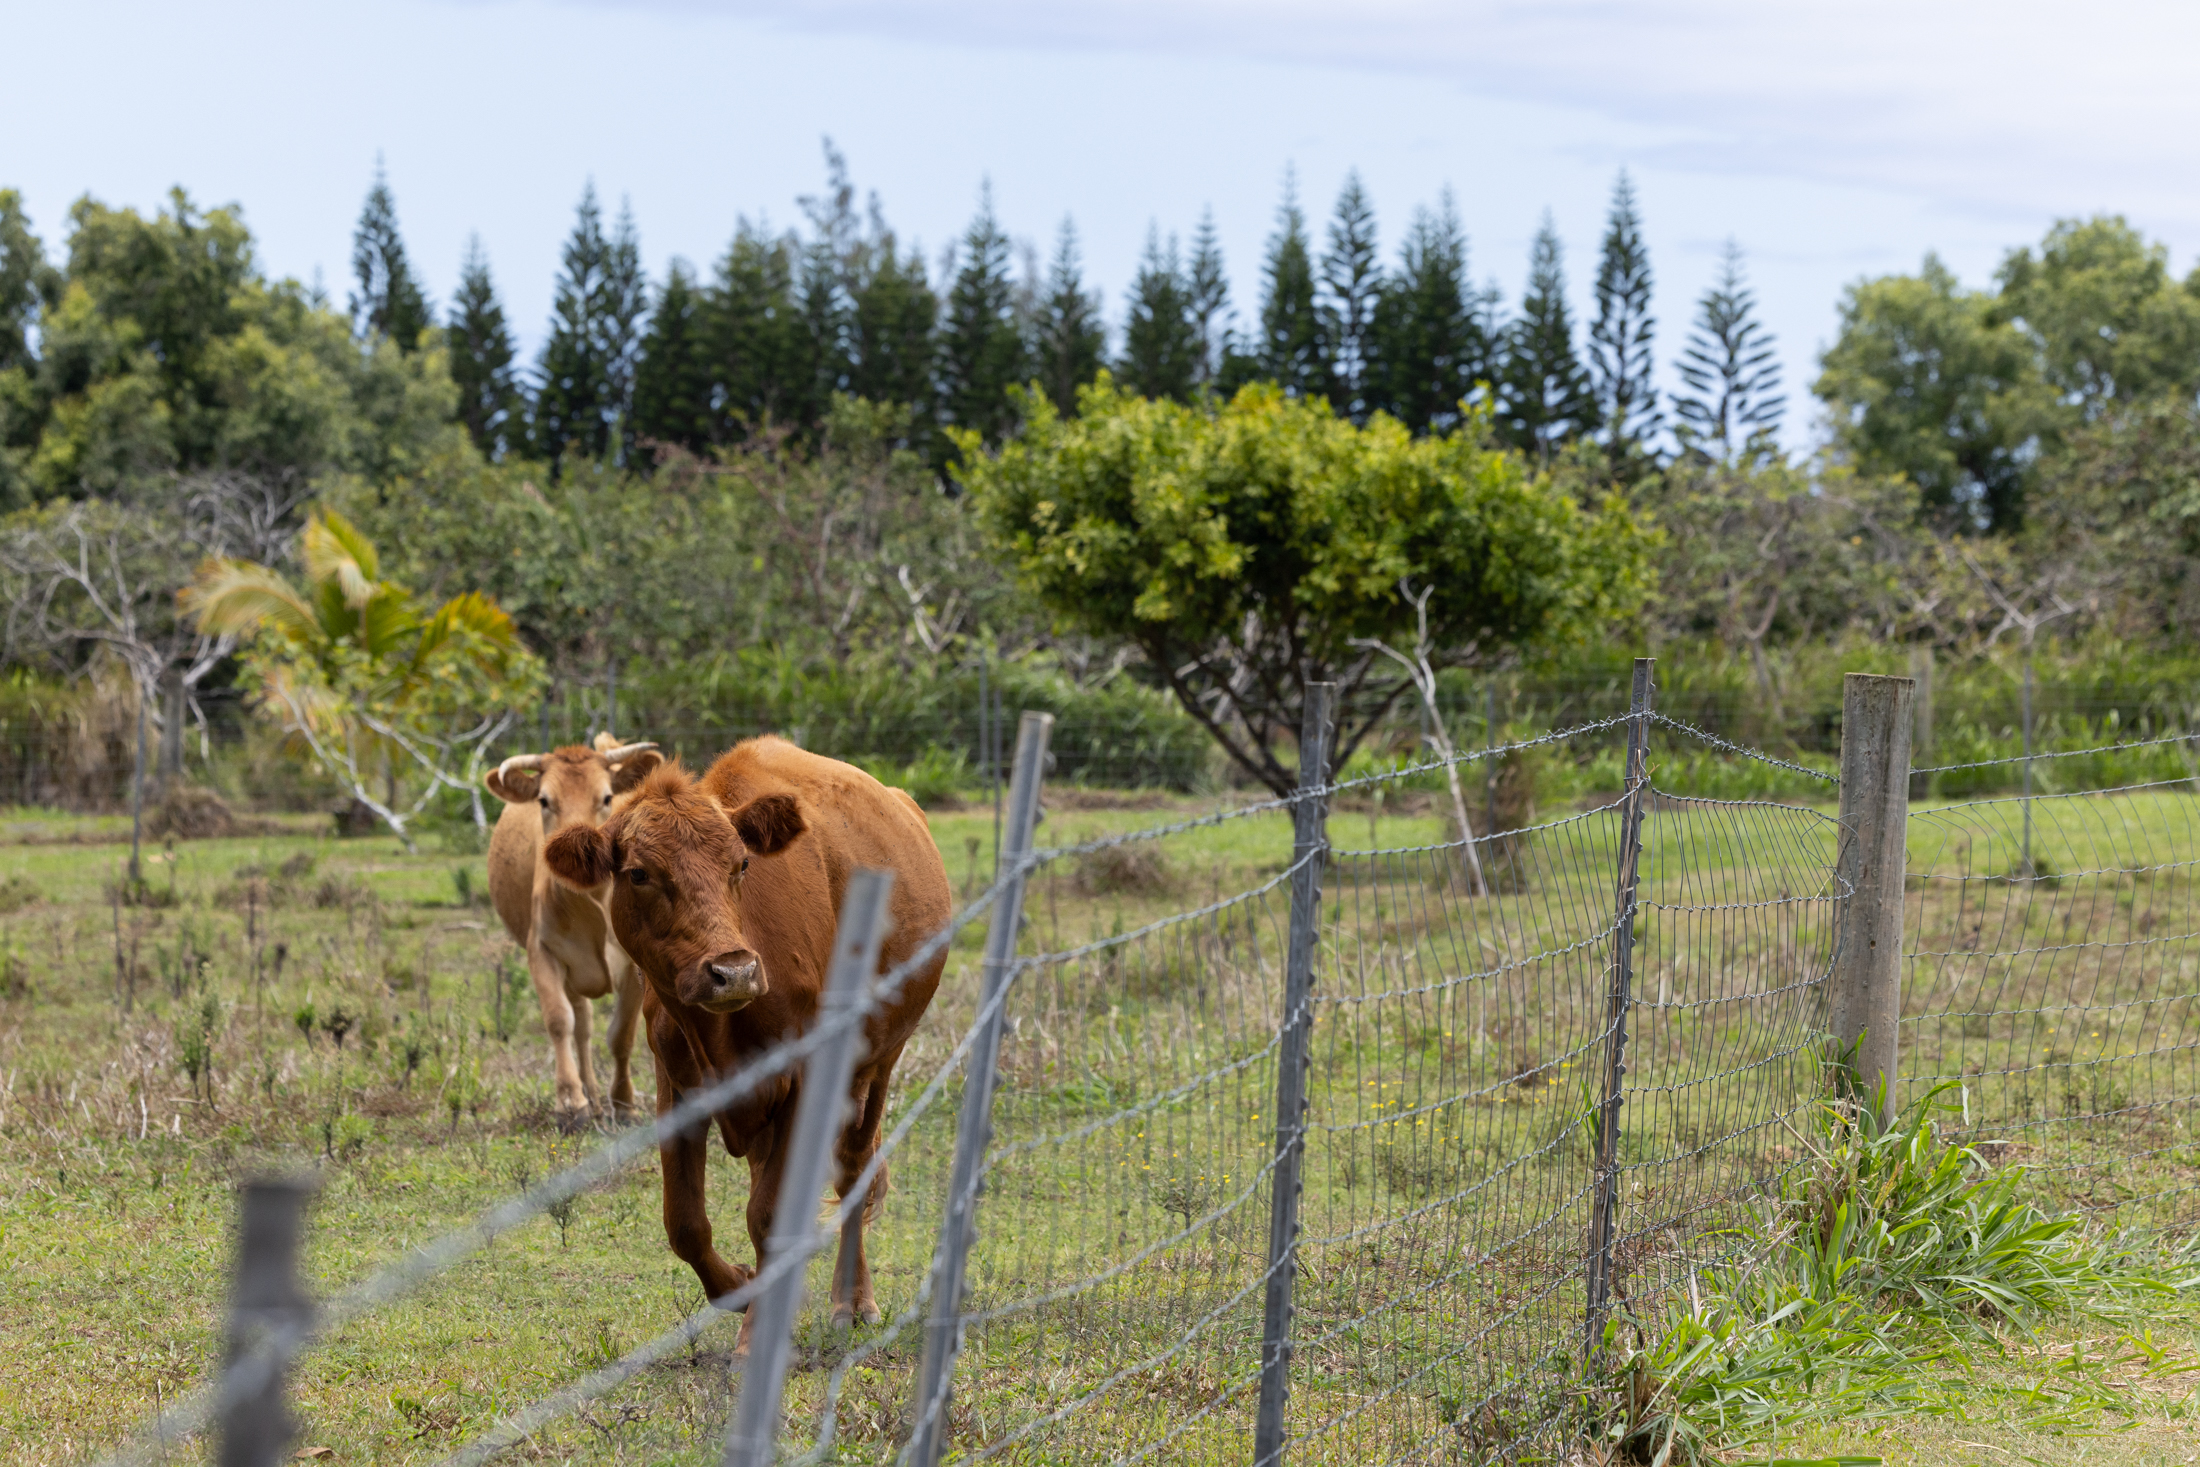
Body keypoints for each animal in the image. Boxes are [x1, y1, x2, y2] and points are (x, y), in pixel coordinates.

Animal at [486, 732, 664, 1124]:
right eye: (544, 800)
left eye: (607, 797)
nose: (576, 848)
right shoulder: (541, 951)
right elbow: (559, 1021)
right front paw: (570, 1100)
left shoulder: (636, 963)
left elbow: (622, 1034)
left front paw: (624, 1103)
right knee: (581, 1026)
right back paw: (589, 1095)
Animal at [540, 736, 950, 1342]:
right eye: (638, 873)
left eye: (742, 864)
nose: (732, 971)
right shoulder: (676, 1084)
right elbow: (686, 1221)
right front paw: (740, 1287)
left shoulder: (805, 1077)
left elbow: (771, 1216)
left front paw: (755, 1337)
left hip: (879, 1061)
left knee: (853, 1168)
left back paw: (852, 1301)